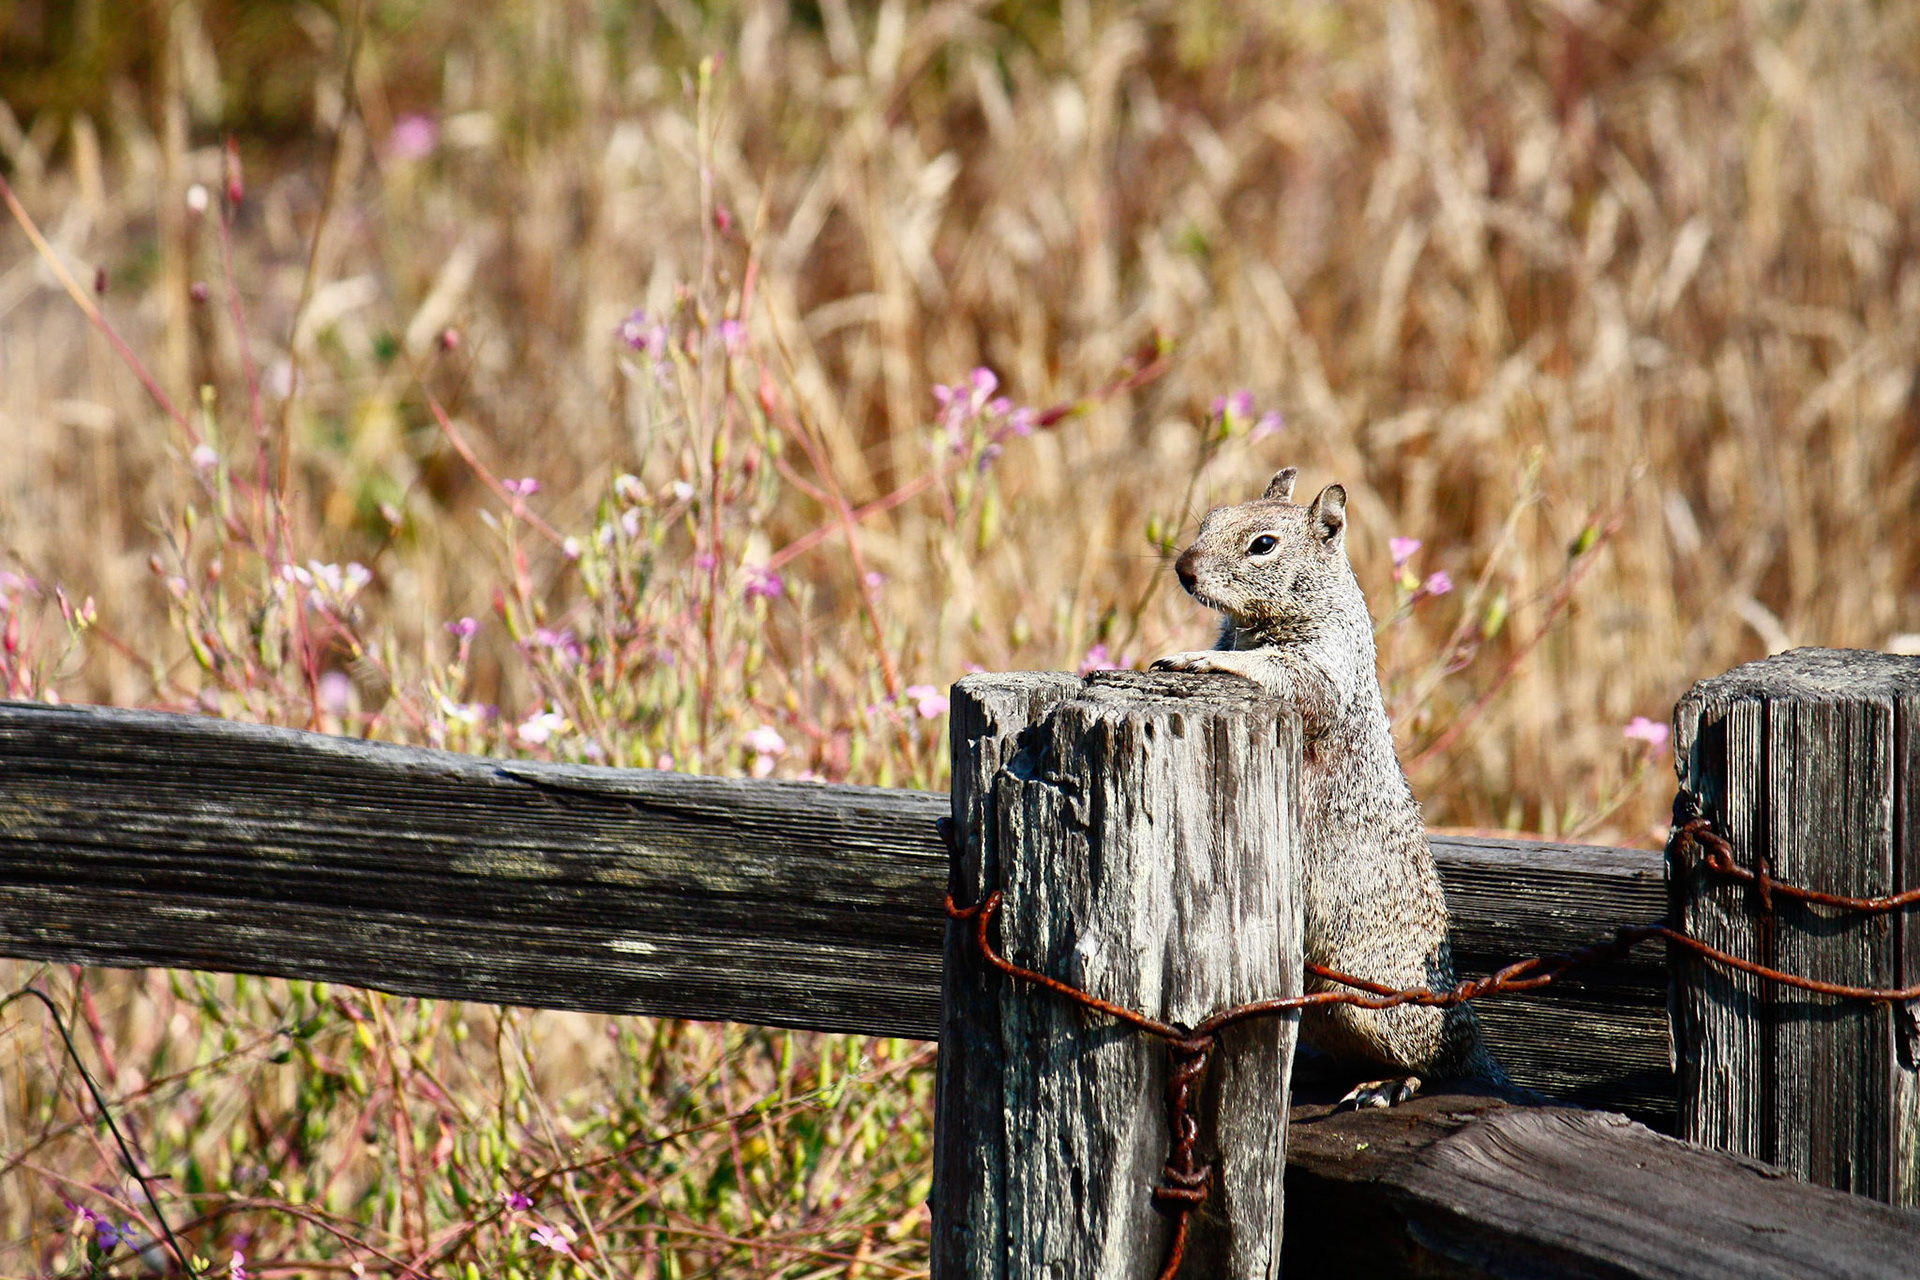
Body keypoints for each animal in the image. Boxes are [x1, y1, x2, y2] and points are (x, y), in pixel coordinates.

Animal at [1150, 467, 1503, 1105]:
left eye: (1263, 544)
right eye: (1210, 517)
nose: (1184, 569)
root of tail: (1473, 1038)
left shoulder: (1323, 665)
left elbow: (1271, 669)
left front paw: (1192, 659)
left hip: (1380, 1005)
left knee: (1436, 1063)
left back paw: (1389, 1082)